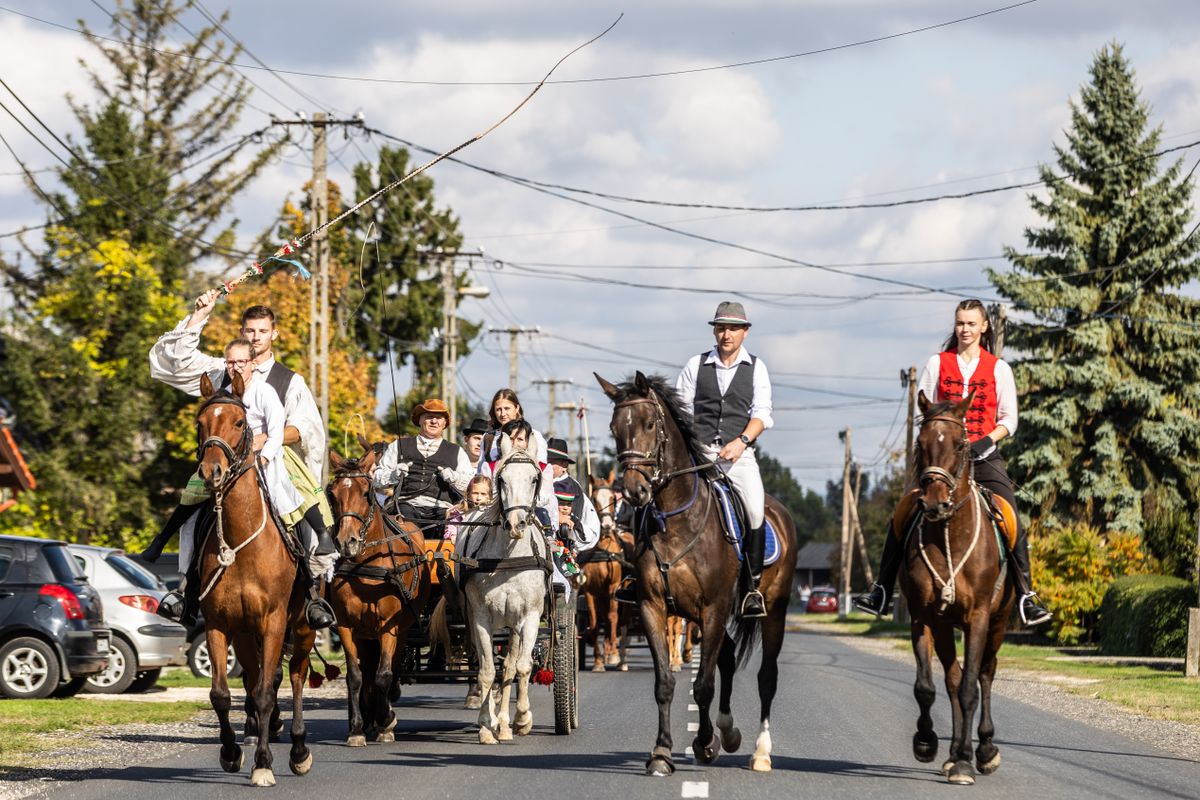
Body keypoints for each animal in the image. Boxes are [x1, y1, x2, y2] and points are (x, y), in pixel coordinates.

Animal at [194, 376, 314, 786]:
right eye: (201, 423)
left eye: (238, 422)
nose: (212, 472)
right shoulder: (219, 624)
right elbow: (221, 694)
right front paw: (231, 752)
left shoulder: (273, 621)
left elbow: (266, 691)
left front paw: (263, 763)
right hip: (246, 634)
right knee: (257, 678)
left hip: (302, 627)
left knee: (295, 676)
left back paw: (298, 749)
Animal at [324, 441, 432, 748]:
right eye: (332, 494)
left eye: (366, 493)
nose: (347, 542)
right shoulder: (346, 626)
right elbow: (355, 676)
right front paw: (357, 728)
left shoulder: (389, 627)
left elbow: (384, 674)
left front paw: (387, 721)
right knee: (368, 672)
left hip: (402, 627)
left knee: (390, 669)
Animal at [458, 438, 552, 743]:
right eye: (501, 479)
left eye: (534, 479)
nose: (515, 525)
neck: (509, 556)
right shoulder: (480, 618)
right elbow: (487, 671)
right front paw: (485, 726)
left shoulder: (530, 617)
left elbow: (521, 667)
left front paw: (521, 719)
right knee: (487, 665)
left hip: (513, 625)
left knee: (510, 666)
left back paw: (505, 723)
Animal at [595, 374, 792, 777]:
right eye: (614, 429)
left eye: (649, 424)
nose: (636, 491)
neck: (676, 519)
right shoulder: (653, 607)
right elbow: (666, 683)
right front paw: (662, 753)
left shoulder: (713, 609)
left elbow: (702, 685)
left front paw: (701, 743)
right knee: (727, 660)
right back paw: (728, 733)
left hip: (773, 612)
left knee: (766, 676)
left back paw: (760, 753)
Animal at [902, 391, 1017, 786]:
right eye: (920, 444)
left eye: (962, 444)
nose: (935, 502)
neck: (950, 533)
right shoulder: (924, 617)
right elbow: (927, 686)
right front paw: (926, 743)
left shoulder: (978, 618)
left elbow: (970, 687)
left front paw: (968, 760)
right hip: (945, 626)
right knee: (952, 679)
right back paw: (953, 754)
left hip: (998, 623)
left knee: (984, 674)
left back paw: (983, 750)